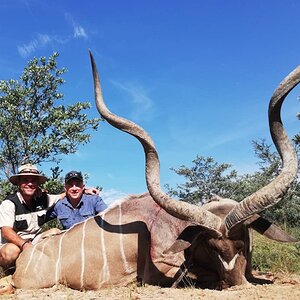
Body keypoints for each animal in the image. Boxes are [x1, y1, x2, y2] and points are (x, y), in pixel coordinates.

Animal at [2, 53, 300, 290]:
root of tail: (27, 257)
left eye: (242, 244)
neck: (178, 227)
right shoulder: (160, 272)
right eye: (212, 246)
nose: (235, 283)